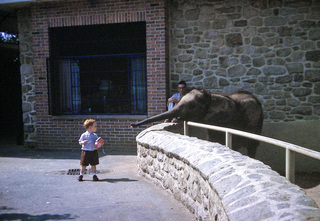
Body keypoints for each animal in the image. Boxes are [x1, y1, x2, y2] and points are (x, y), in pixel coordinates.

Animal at [131, 89, 264, 158]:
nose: (132, 125)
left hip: (256, 124)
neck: (210, 95)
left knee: (252, 146)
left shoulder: (225, 120)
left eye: (192, 106)